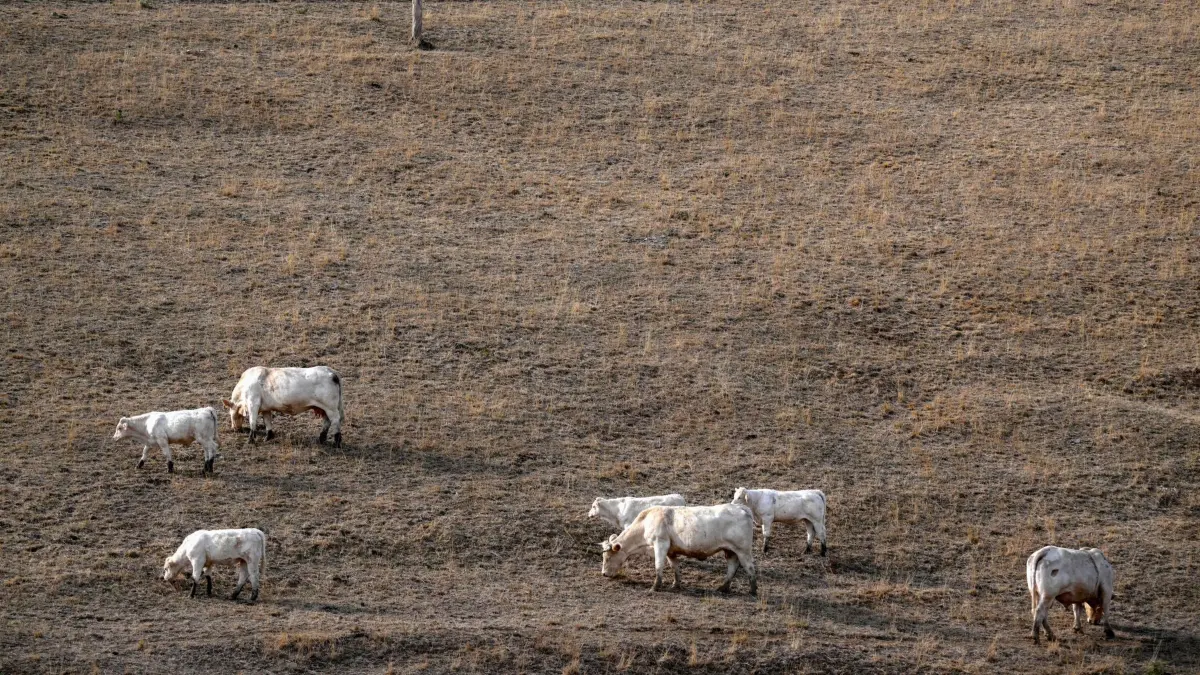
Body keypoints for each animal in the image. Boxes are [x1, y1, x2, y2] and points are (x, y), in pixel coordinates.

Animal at [599, 503, 757, 595]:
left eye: (608, 557)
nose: (604, 574)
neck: (645, 523)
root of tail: (741, 508)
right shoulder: (671, 550)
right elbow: (675, 566)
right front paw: (676, 584)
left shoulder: (660, 544)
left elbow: (658, 566)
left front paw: (655, 587)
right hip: (730, 550)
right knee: (732, 566)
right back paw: (723, 587)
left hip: (743, 550)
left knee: (749, 567)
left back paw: (753, 590)